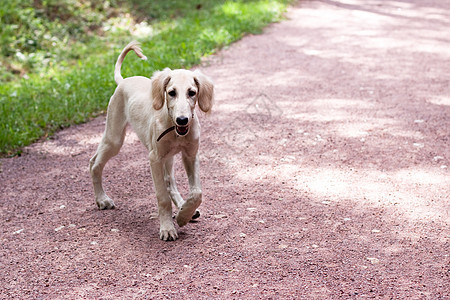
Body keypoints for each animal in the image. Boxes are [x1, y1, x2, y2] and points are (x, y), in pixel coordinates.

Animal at [89, 41, 214, 240]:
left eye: (192, 92)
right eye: (171, 92)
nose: (182, 120)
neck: (174, 128)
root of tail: (123, 81)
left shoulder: (190, 155)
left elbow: (197, 193)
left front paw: (183, 215)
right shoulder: (154, 158)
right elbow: (162, 197)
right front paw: (167, 228)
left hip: (167, 156)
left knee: (169, 180)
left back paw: (182, 206)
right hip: (114, 138)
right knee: (94, 163)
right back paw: (102, 199)